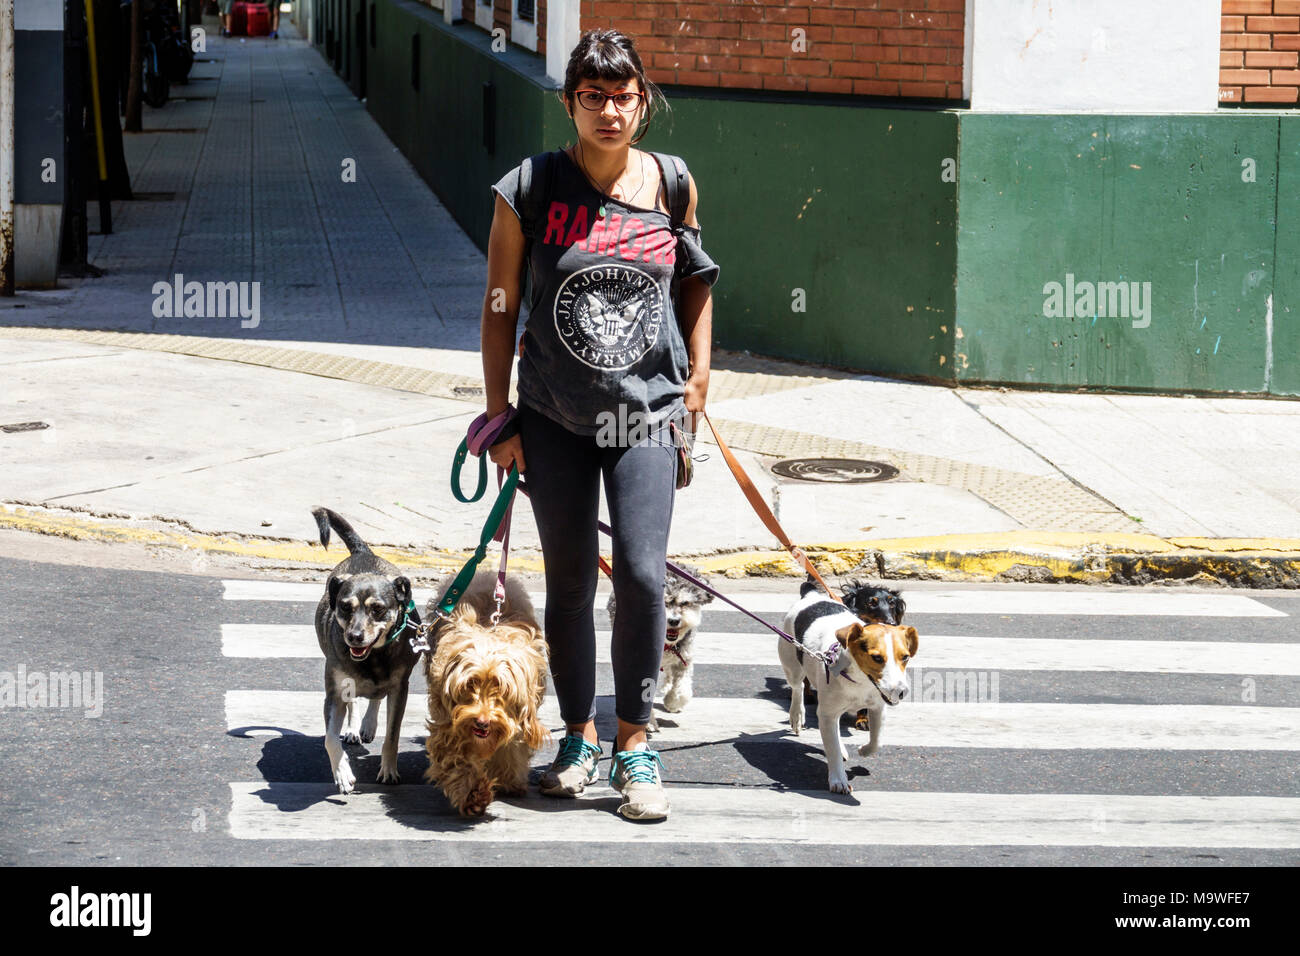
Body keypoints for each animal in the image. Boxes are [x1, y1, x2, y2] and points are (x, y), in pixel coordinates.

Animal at [310, 509, 421, 790]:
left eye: (378, 609)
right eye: (345, 606)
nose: (354, 637)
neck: (374, 657)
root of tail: (362, 551)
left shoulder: (399, 689)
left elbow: (392, 735)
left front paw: (389, 770)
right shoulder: (334, 691)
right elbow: (330, 738)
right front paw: (342, 772)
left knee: (376, 697)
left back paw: (369, 725)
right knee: (354, 701)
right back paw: (352, 728)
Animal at [426, 572, 548, 816]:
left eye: (501, 688)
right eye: (469, 684)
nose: (482, 722)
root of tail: (488, 573)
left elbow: (512, 747)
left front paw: (509, 780)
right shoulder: (448, 722)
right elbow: (455, 758)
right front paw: (473, 793)